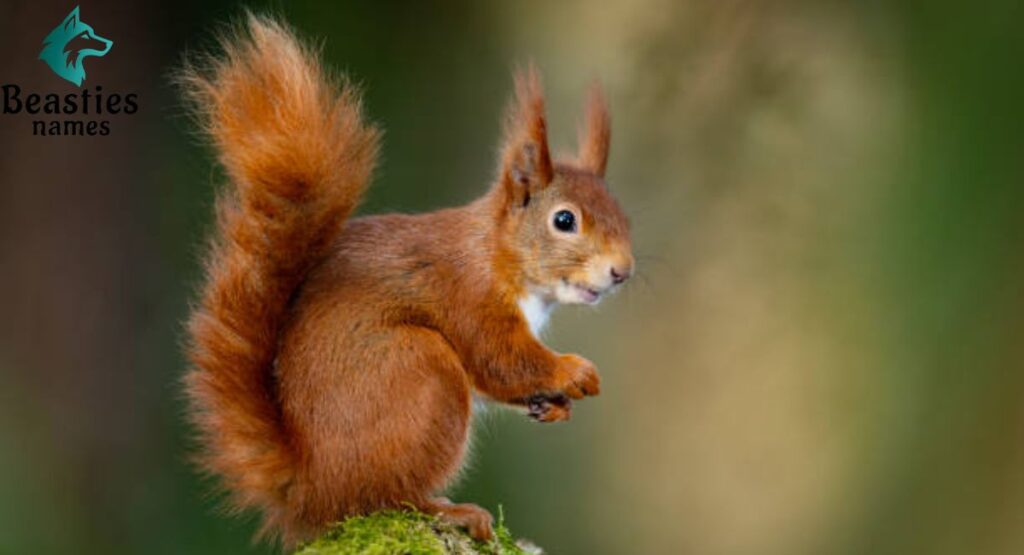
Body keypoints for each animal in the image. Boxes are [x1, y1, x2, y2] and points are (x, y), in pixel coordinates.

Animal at [182, 15, 633, 547]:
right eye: (564, 220)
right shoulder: (470, 295)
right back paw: (451, 510)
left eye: (623, 215)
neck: (499, 255)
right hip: (420, 372)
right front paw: (576, 372)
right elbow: (502, 358)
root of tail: (310, 490)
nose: (622, 271)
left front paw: (556, 405)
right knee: (383, 498)